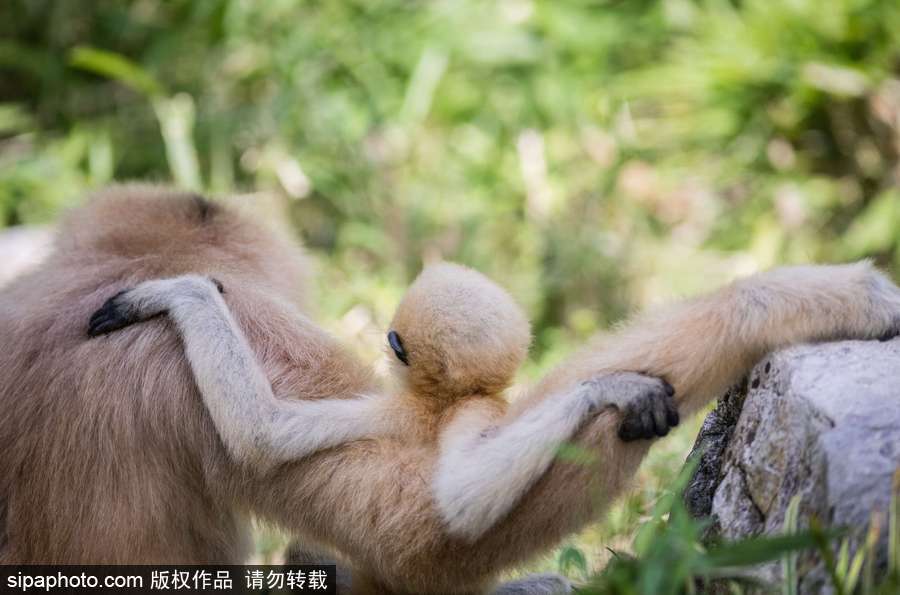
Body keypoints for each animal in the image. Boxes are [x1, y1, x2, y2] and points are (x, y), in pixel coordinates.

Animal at [87, 262, 679, 541]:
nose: (389, 344)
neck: (440, 400)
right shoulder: (478, 407)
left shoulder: (401, 409)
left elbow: (263, 433)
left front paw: (180, 292)